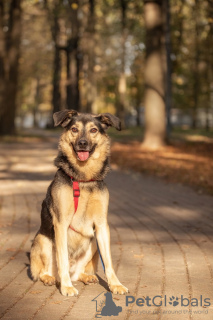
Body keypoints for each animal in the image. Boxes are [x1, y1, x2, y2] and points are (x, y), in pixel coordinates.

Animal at [30, 110, 129, 298]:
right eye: (74, 129)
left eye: (93, 130)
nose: (82, 144)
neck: (83, 179)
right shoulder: (61, 223)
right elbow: (62, 259)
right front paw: (67, 287)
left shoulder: (101, 225)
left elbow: (109, 262)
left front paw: (115, 284)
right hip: (42, 239)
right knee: (45, 271)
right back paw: (51, 279)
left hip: (93, 243)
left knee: (79, 272)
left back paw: (86, 277)